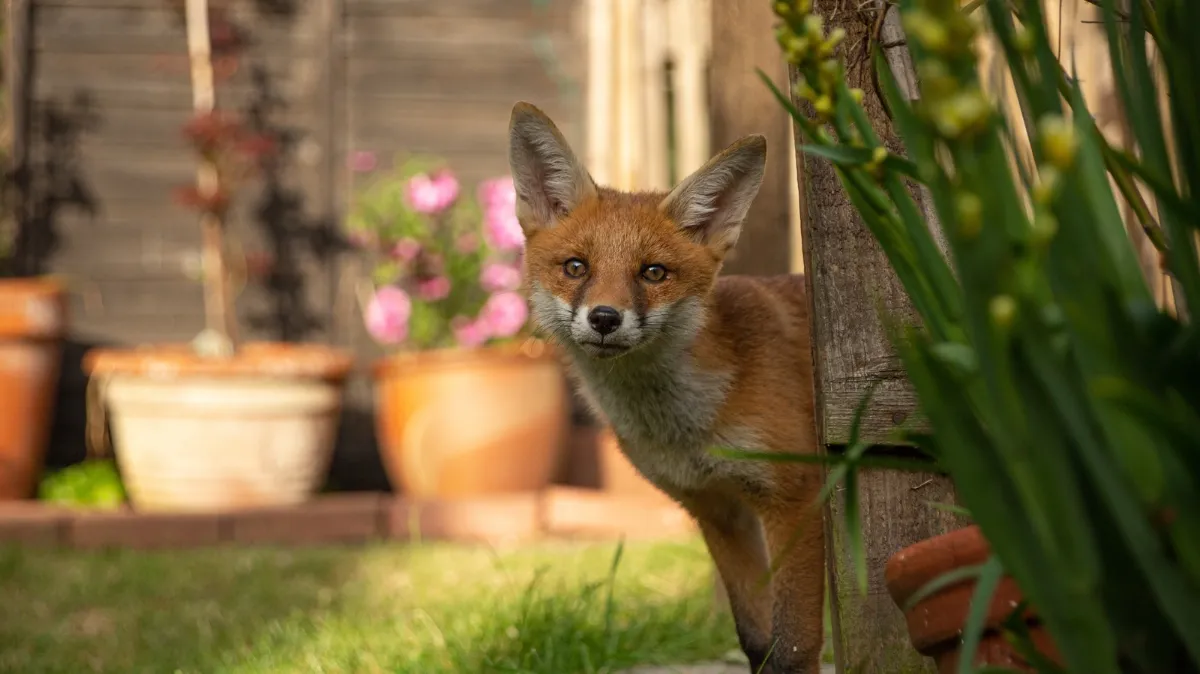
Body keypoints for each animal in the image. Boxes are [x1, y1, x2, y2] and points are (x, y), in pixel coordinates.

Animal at [506, 99, 825, 671]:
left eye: (653, 272)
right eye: (576, 267)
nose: (604, 318)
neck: (690, 429)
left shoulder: (794, 498)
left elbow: (790, 648)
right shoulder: (719, 510)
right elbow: (757, 640)